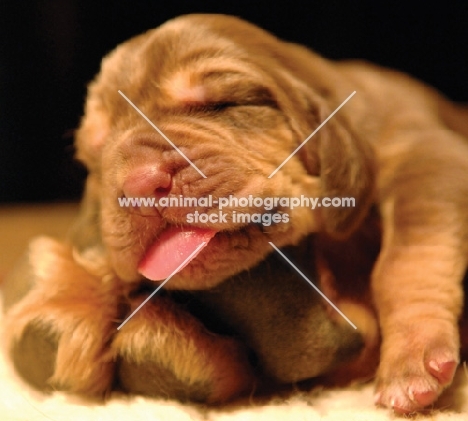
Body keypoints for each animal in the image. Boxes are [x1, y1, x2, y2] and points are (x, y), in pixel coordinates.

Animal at [3, 13, 468, 414]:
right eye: (95, 151)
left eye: (226, 103)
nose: (139, 183)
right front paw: (70, 298)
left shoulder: (430, 156)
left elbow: (409, 255)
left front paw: (411, 358)